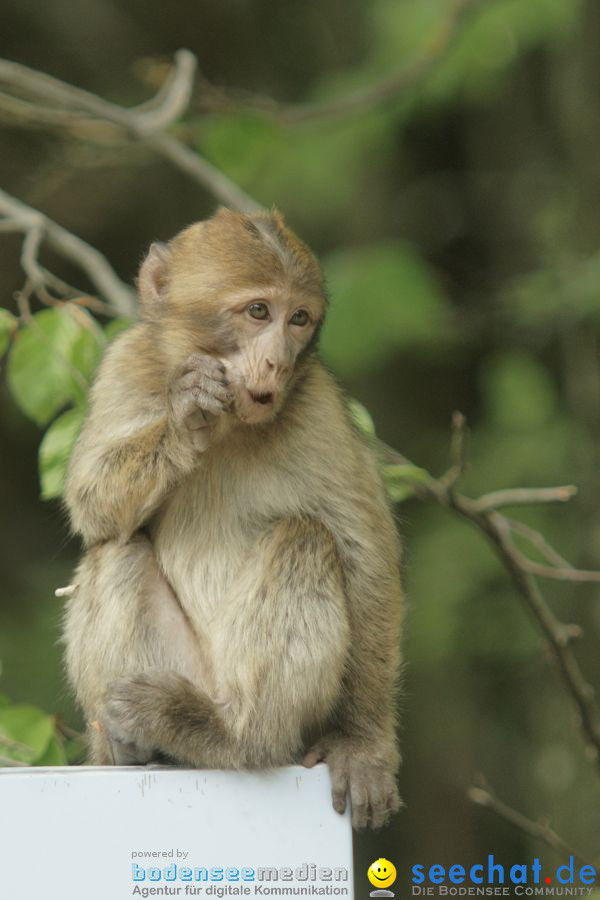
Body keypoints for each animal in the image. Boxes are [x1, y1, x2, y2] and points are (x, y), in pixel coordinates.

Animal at [63, 206, 404, 828]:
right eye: (258, 312)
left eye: (299, 319)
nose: (276, 360)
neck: (233, 428)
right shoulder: (126, 364)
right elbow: (91, 501)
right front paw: (185, 415)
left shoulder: (317, 407)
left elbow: (363, 554)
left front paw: (364, 748)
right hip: (179, 668)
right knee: (115, 550)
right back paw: (132, 747)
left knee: (303, 538)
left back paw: (230, 733)